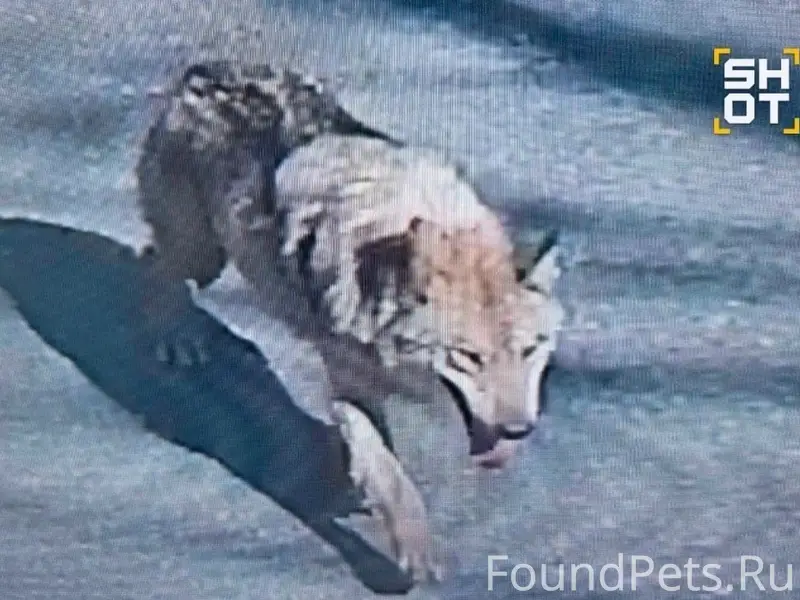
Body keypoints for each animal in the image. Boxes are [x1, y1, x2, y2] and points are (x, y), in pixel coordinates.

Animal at [134, 61, 563, 583]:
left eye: (530, 350)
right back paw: (174, 337)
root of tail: (204, 71)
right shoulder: (348, 382)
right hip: (203, 257)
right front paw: (416, 549)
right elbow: (392, 475)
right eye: (469, 357)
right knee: (155, 261)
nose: (519, 431)